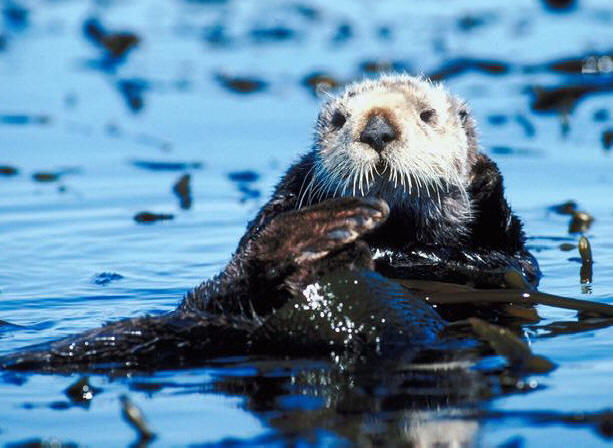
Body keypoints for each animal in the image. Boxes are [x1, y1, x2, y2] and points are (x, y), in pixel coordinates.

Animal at [0, 75, 536, 372]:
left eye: (427, 115)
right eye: (339, 119)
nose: (378, 129)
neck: (396, 233)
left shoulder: (503, 261)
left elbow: (505, 260)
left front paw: (482, 178)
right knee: (247, 268)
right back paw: (332, 228)